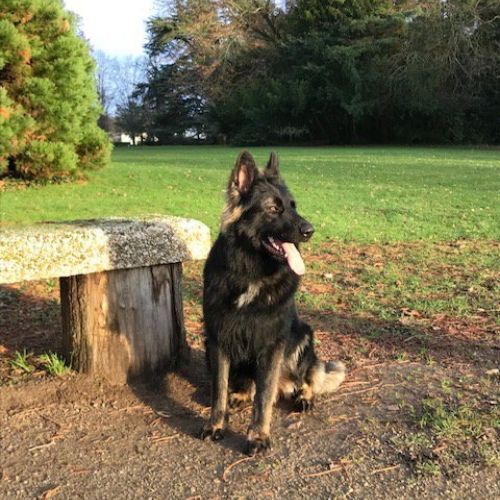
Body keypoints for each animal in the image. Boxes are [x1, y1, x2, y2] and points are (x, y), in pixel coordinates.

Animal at [200, 151, 345, 455]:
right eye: (274, 208)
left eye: (293, 206)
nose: (310, 230)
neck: (251, 273)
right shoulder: (218, 340)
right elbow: (219, 389)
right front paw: (216, 424)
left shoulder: (272, 344)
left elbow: (264, 397)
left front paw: (258, 436)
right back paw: (241, 393)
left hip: (303, 335)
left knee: (307, 378)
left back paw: (304, 397)